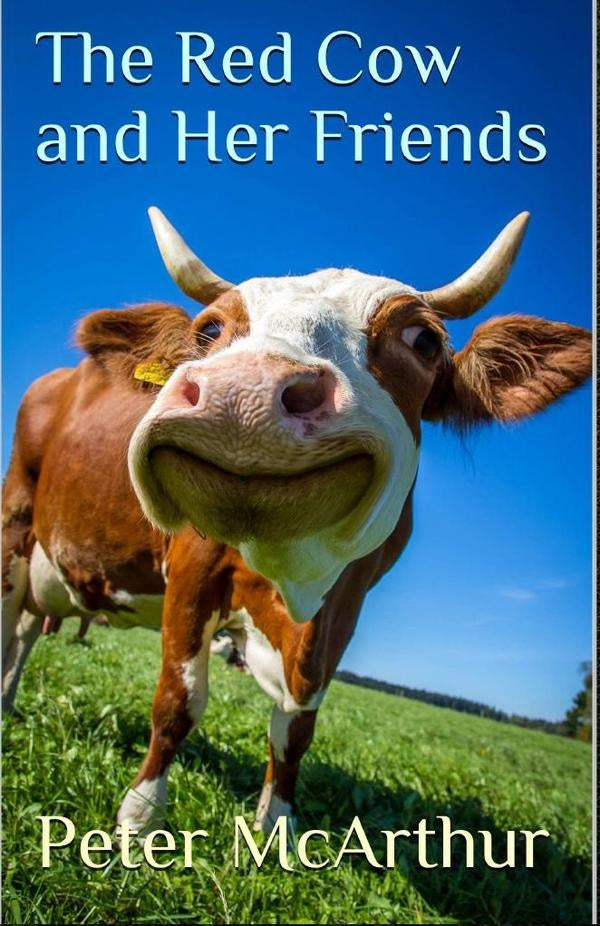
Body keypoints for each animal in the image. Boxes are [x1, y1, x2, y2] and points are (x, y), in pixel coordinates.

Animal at [2, 208, 591, 836]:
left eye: (425, 340)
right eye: (209, 331)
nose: (244, 392)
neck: (294, 581)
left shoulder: (345, 608)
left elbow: (295, 728)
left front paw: (277, 824)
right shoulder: (192, 569)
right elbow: (179, 700)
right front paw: (139, 817)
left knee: (26, 629)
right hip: (16, 520)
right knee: (12, 617)